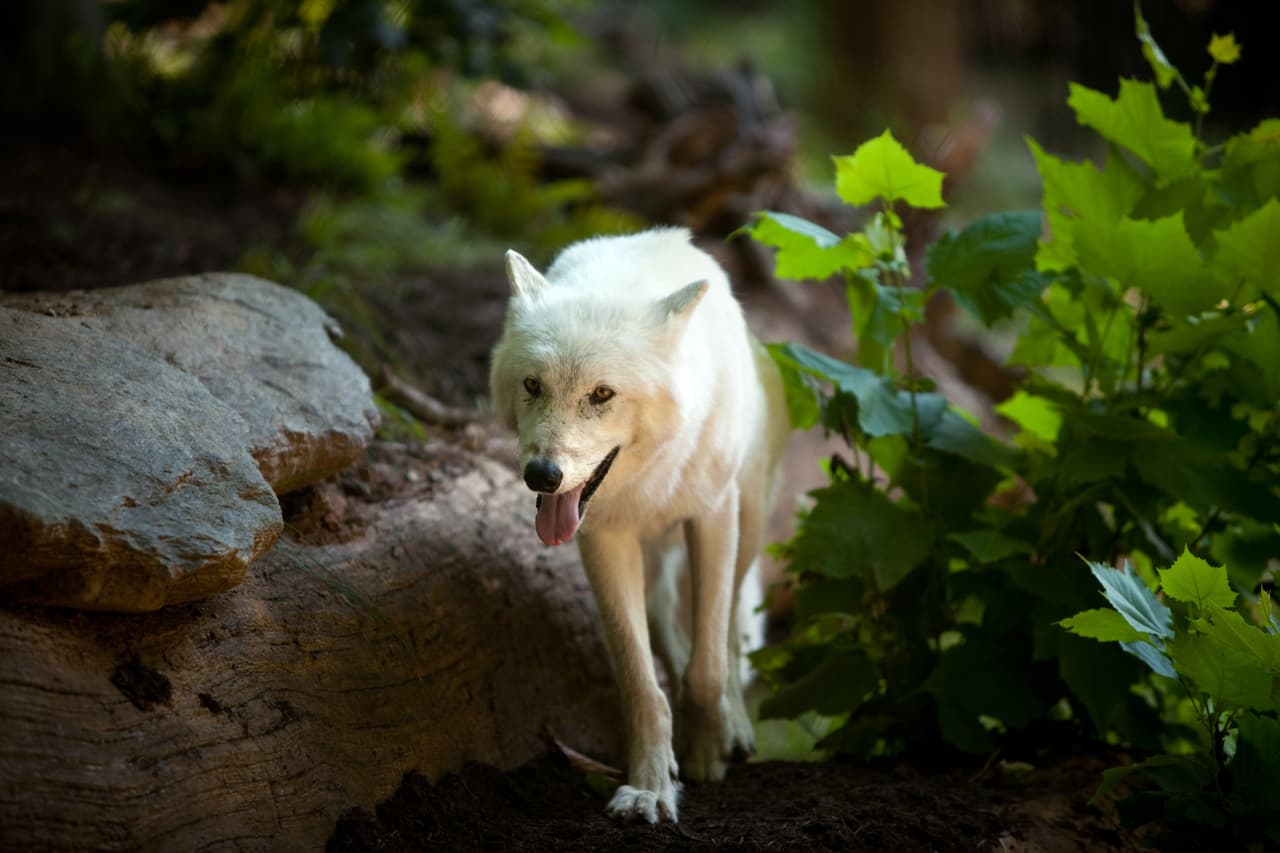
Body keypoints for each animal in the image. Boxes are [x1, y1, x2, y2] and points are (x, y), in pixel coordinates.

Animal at [489, 228, 788, 823]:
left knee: (727, 635)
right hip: (652, 563)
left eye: (602, 394)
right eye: (533, 385)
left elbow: (708, 667)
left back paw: (736, 728)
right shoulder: (603, 541)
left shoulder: (713, 519)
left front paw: (705, 757)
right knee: (668, 621)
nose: (542, 475)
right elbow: (641, 684)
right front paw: (651, 788)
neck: (648, 479)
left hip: (745, 526)